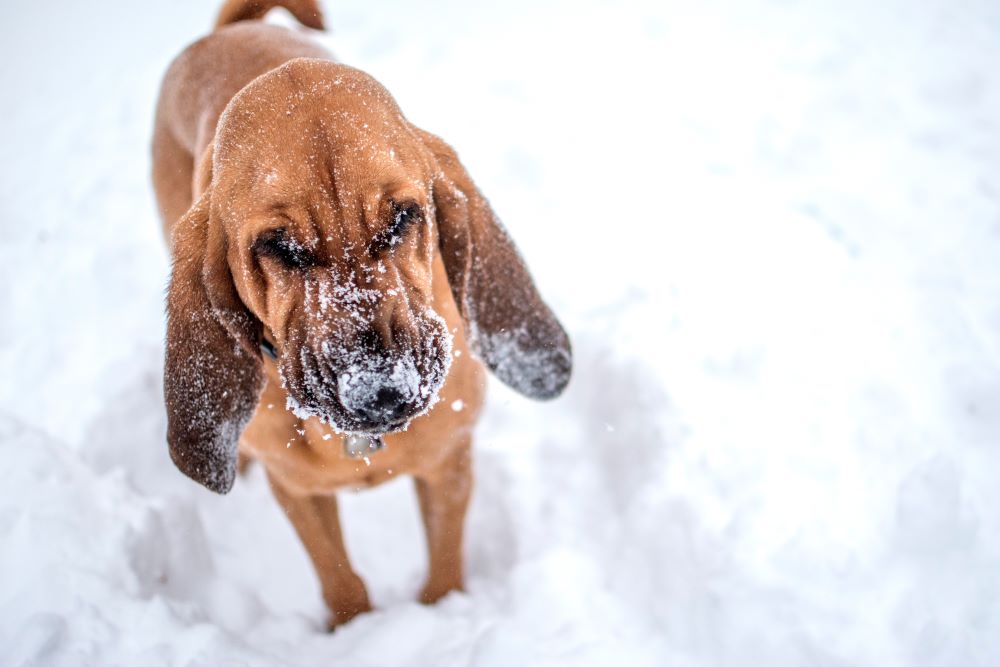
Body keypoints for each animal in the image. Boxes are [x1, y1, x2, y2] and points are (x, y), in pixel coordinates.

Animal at [148, 0, 572, 628]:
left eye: (402, 218)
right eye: (279, 247)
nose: (381, 390)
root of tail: (229, 32)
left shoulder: (449, 465)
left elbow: (444, 570)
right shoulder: (298, 493)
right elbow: (341, 581)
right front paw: (353, 629)